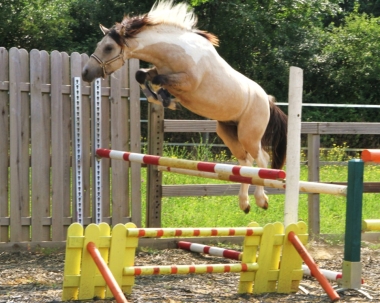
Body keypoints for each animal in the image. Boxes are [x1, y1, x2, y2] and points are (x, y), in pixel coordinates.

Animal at [81, 0, 286, 214]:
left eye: (108, 48)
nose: (85, 73)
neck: (174, 50)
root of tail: (268, 100)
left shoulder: (188, 82)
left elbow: (157, 79)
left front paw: (166, 99)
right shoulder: (159, 71)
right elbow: (142, 75)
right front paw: (161, 99)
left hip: (249, 134)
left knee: (261, 160)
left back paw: (261, 200)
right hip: (228, 132)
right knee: (245, 162)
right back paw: (244, 204)